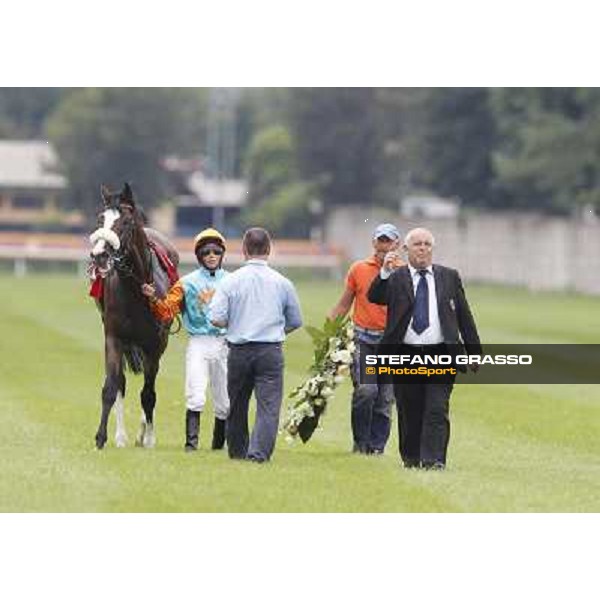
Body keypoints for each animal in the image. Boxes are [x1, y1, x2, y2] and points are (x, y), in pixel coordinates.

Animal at [88, 183, 179, 450]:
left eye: (126, 222)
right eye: (101, 219)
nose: (99, 255)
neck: (135, 289)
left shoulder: (156, 344)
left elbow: (149, 393)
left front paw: (149, 437)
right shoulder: (114, 338)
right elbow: (112, 385)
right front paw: (101, 437)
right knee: (122, 382)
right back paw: (121, 436)